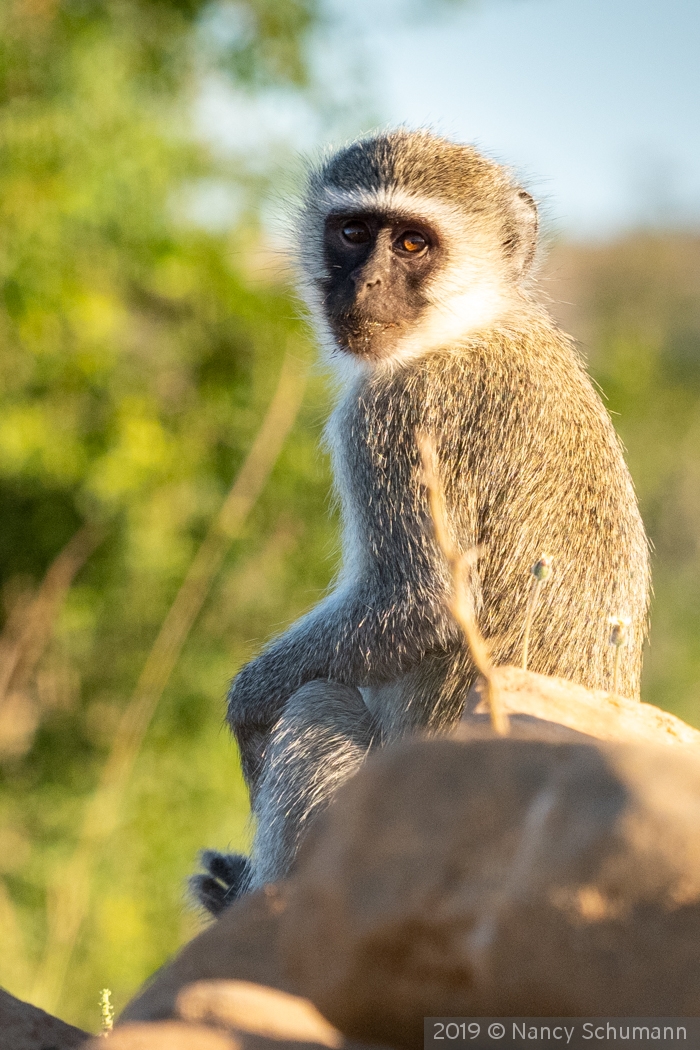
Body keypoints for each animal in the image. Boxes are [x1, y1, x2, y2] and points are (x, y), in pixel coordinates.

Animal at [189, 131, 646, 915]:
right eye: (352, 232)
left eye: (411, 243)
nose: (363, 286)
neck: (471, 321)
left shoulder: (392, 417)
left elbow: (423, 601)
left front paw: (246, 707)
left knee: (316, 702)